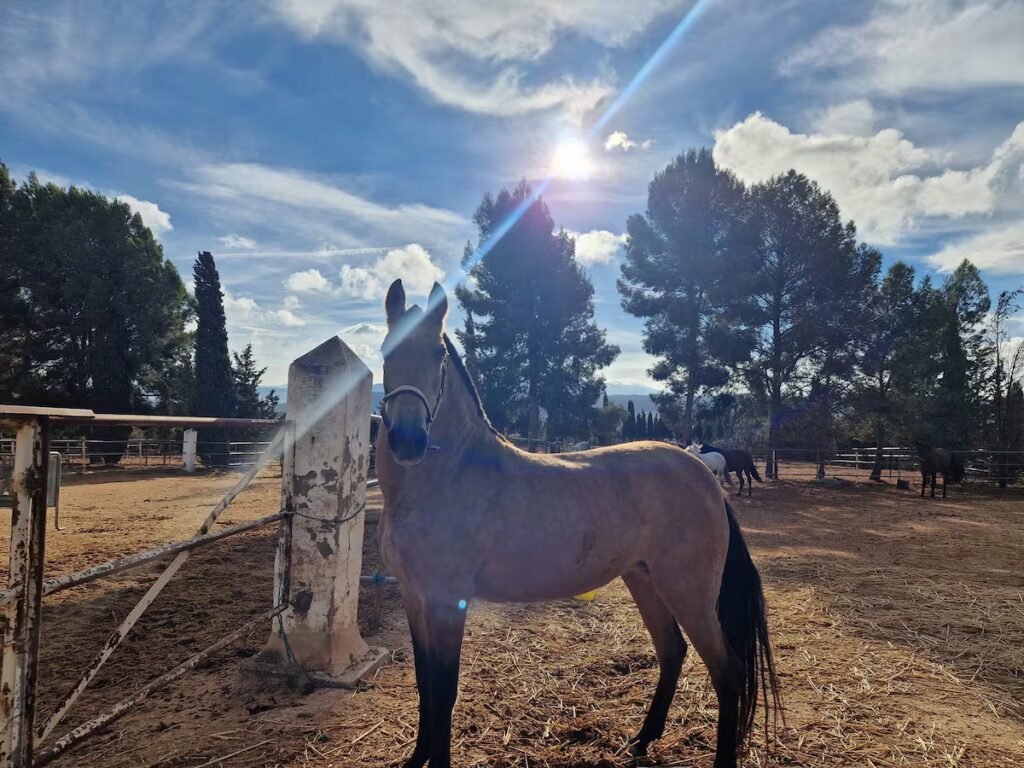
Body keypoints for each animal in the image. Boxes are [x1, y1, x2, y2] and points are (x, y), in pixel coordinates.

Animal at [376, 280, 779, 768]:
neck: (448, 475)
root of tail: (704, 475)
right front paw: (415, 758)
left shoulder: (445, 603)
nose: (408, 441)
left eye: (437, 354)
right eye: (384, 349)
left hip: (689, 592)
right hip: (644, 579)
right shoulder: (414, 600)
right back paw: (641, 740)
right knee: (672, 652)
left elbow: (444, 694)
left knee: (727, 671)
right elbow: (424, 686)